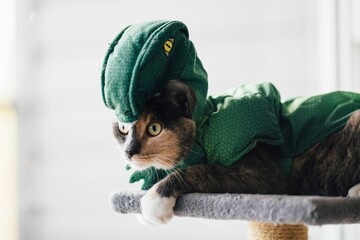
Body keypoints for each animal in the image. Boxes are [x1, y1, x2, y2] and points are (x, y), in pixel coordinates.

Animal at [114, 80, 360, 225]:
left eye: (154, 128)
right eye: (123, 128)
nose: (128, 151)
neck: (204, 124)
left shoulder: (262, 171)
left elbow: (204, 170)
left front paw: (155, 199)